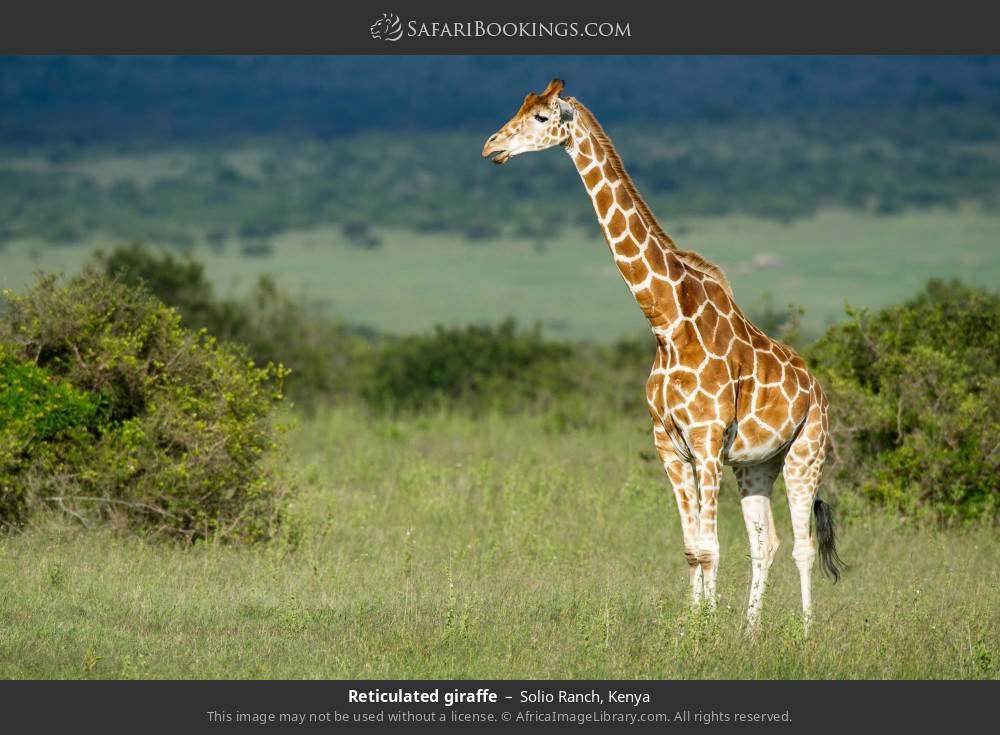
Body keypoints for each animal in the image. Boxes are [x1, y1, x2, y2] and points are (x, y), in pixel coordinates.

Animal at [484, 80, 844, 632]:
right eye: (519, 108)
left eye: (543, 117)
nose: (491, 147)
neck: (668, 324)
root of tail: (818, 390)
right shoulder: (669, 445)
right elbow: (693, 548)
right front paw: (693, 629)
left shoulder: (707, 440)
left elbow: (712, 547)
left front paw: (707, 632)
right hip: (757, 464)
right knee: (767, 544)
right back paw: (750, 634)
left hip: (806, 451)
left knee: (803, 545)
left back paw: (804, 637)